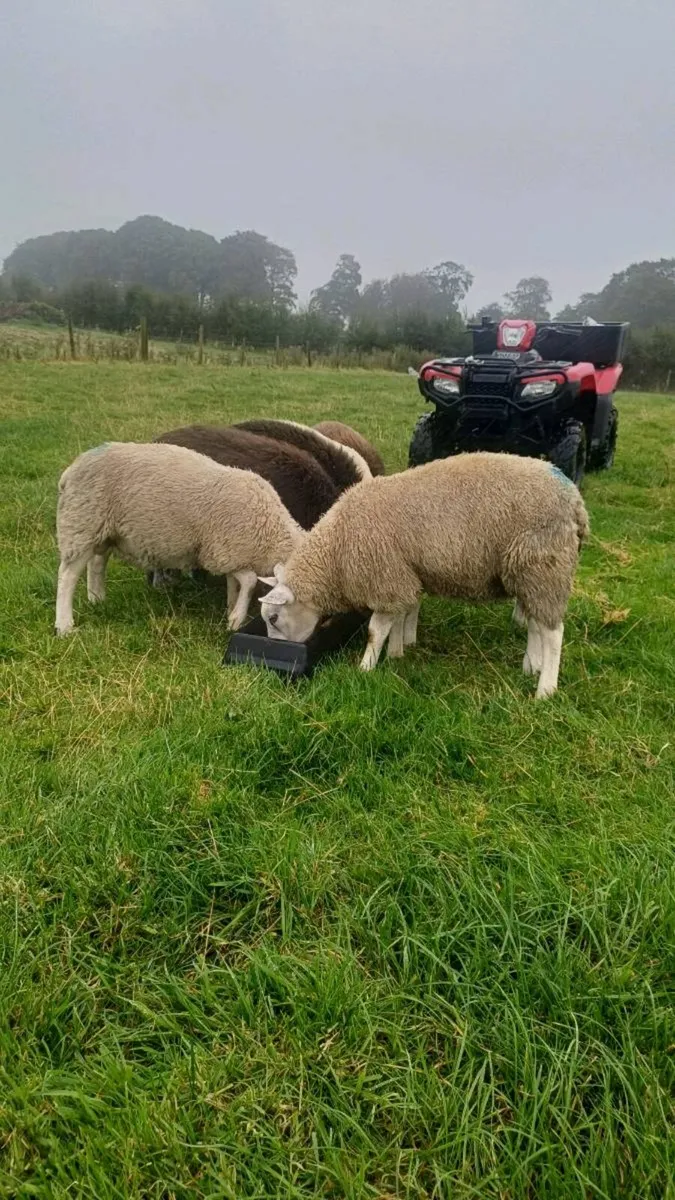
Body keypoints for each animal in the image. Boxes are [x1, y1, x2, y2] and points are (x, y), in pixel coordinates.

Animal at [55, 441, 302, 636]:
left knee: (97, 563)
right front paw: (235, 619)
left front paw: (231, 609)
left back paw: (97, 599)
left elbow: (236, 584)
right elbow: (249, 581)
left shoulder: (231, 555)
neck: (271, 529)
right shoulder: (219, 552)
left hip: (104, 530)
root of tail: (70, 470)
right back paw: (64, 625)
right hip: (81, 522)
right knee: (67, 575)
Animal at [259, 453, 590, 699]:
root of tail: (573, 497)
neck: (335, 551)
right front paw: (399, 651)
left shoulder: (386, 577)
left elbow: (375, 631)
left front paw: (365, 668)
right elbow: (405, 613)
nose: (276, 657)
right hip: (531, 573)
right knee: (536, 623)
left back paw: (545, 689)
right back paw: (531, 666)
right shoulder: (404, 574)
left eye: (273, 618)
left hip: (543, 563)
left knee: (553, 632)